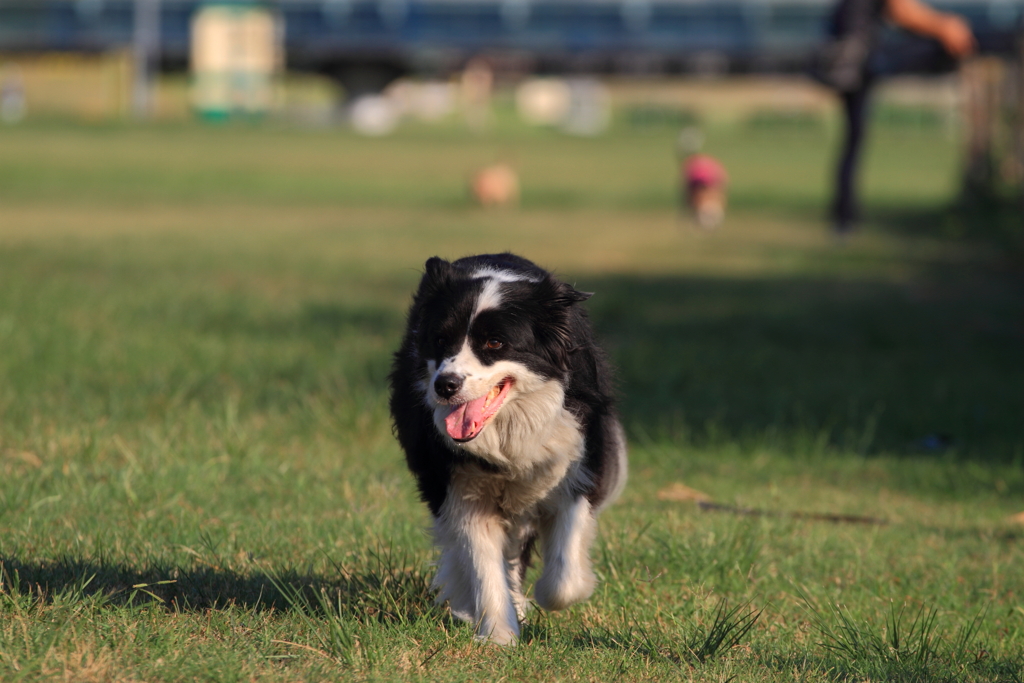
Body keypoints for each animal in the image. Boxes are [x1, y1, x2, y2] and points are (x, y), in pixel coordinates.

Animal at [387, 254, 622, 647]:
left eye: (495, 343)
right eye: (440, 339)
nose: (445, 385)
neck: (508, 427)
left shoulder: (580, 459)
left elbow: (565, 572)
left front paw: (543, 598)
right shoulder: (458, 485)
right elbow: (482, 562)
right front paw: (499, 637)